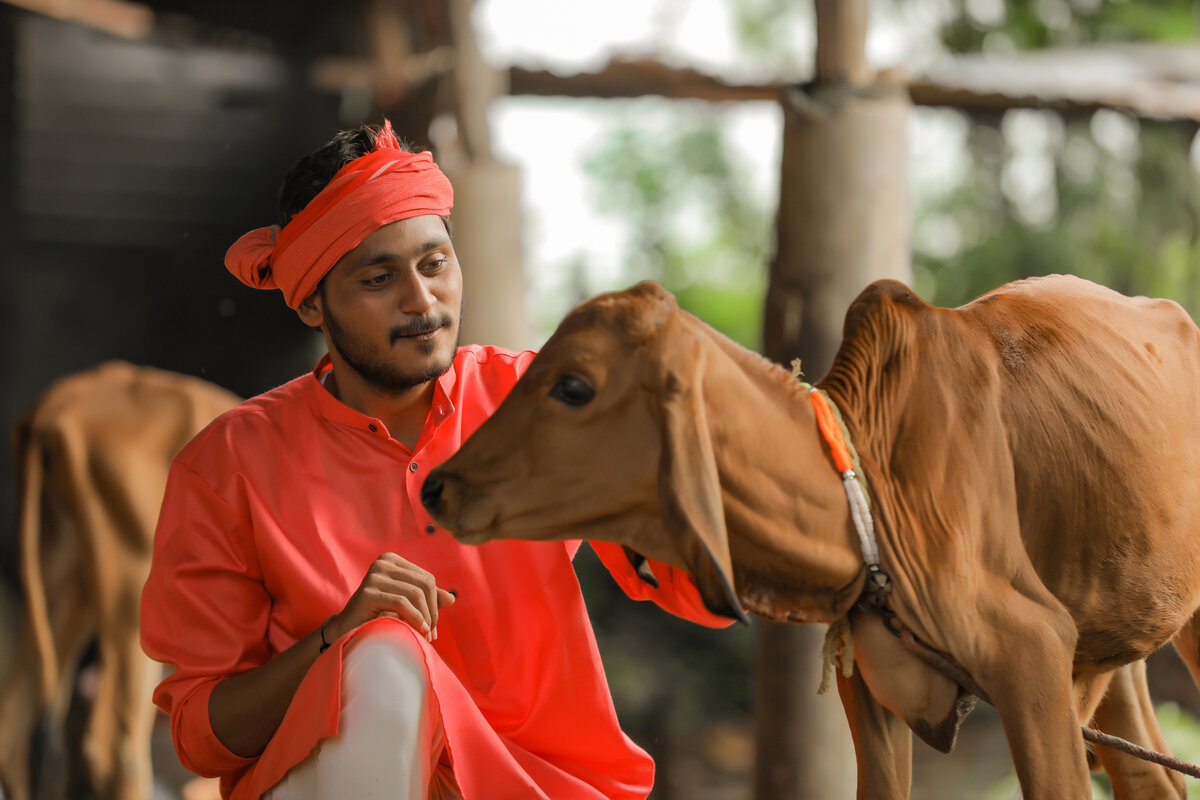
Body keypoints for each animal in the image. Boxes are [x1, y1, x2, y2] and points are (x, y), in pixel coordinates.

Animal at [424, 277, 1200, 800]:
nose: (437, 485)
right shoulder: (875, 693)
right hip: (1113, 646)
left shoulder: (1032, 652)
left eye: (574, 386)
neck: (872, 487)